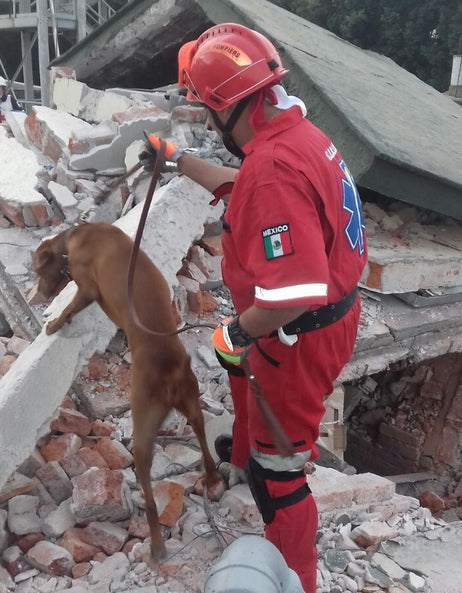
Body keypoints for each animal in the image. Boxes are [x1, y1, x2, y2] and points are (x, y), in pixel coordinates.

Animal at [33, 221, 225, 560]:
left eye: (38, 271)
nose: (40, 297)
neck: (77, 235)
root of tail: (170, 369)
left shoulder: (87, 289)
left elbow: (70, 307)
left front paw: (54, 322)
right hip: (193, 404)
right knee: (203, 439)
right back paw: (213, 477)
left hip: (142, 428)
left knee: (149, 496)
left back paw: (156, 543)